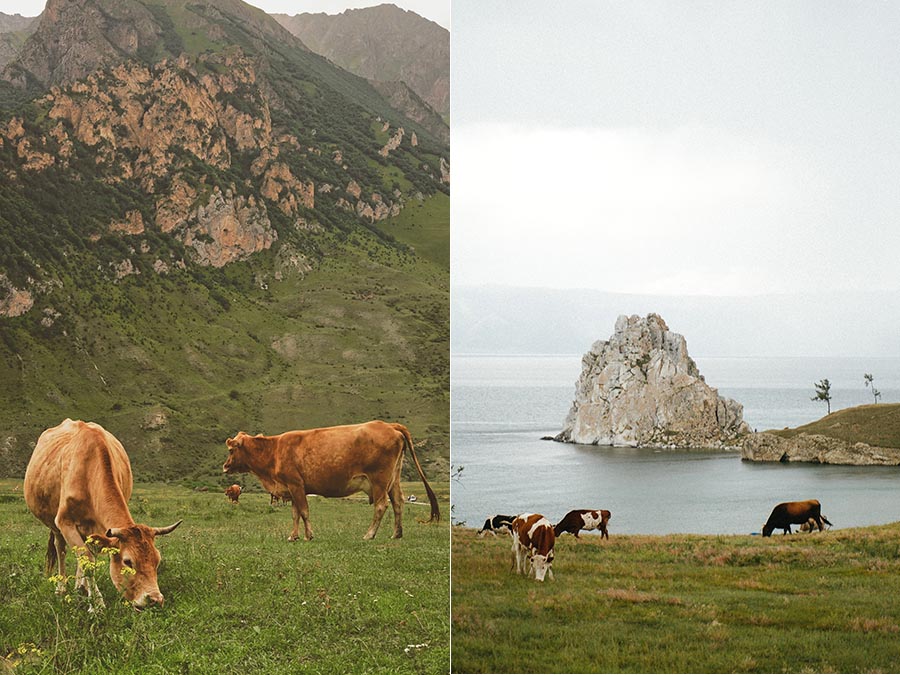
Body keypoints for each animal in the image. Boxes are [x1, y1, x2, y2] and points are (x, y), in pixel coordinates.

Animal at [23, 420, 182, 608]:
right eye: (128, 561)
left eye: (157, 560)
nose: (155, 599)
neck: (88, 472)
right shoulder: (65, 522)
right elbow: (87, 560)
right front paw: (97, 605)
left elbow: (88, 557)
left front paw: (86, 591)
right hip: (55, 525)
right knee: (60, 548)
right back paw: (61, 589)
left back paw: (80, 587)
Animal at [221, 420, 440, 540]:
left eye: (231, 450)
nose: (225, 466)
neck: (274, 450)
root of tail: (388, 425)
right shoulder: (292, 488)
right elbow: (295, 514)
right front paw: (293, 536)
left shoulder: (296, 485)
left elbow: (304, 512)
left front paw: (309, 535)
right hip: (394, 479)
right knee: (398, 503)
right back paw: (396, 533)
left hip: (379, 480)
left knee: (381, 505)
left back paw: (369, 534)